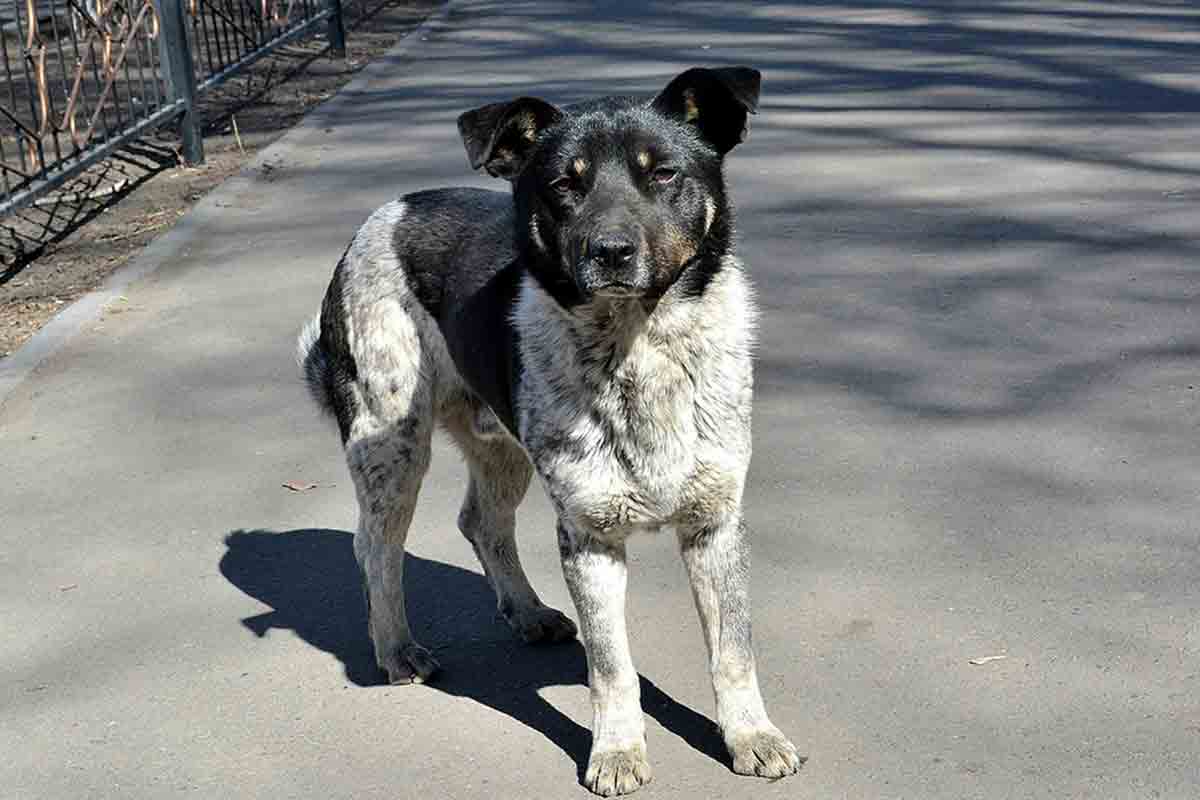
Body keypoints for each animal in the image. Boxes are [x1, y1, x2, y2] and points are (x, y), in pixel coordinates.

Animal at [298, 67, 801, 796]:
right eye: (566, 183)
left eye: (664, 174)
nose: (611, 252)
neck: (636, 347)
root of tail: (387, 212)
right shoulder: (589, 537)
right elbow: (612, 667)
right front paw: (617, 751)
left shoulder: (715, 525)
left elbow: (732, 649)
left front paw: (751, 736)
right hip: (392, 445)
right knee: (377, 549)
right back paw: (396, 650)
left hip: (501, 444)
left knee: (480, 521)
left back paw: (528, 612)